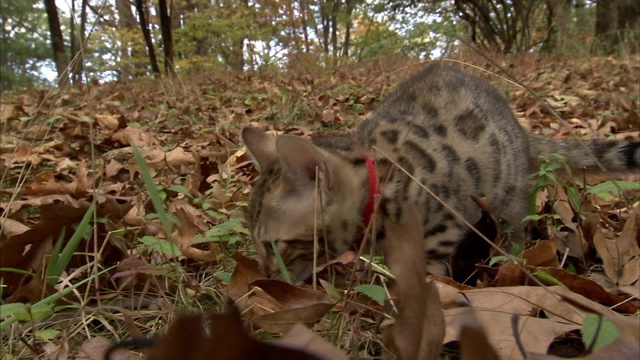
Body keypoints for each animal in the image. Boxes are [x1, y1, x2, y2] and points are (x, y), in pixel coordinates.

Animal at [240, 63, 640, 282]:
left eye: (273, 245)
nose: (265, 275)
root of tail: (521, 130)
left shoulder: (442, 223)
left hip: (508, 200)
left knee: (514, 231)